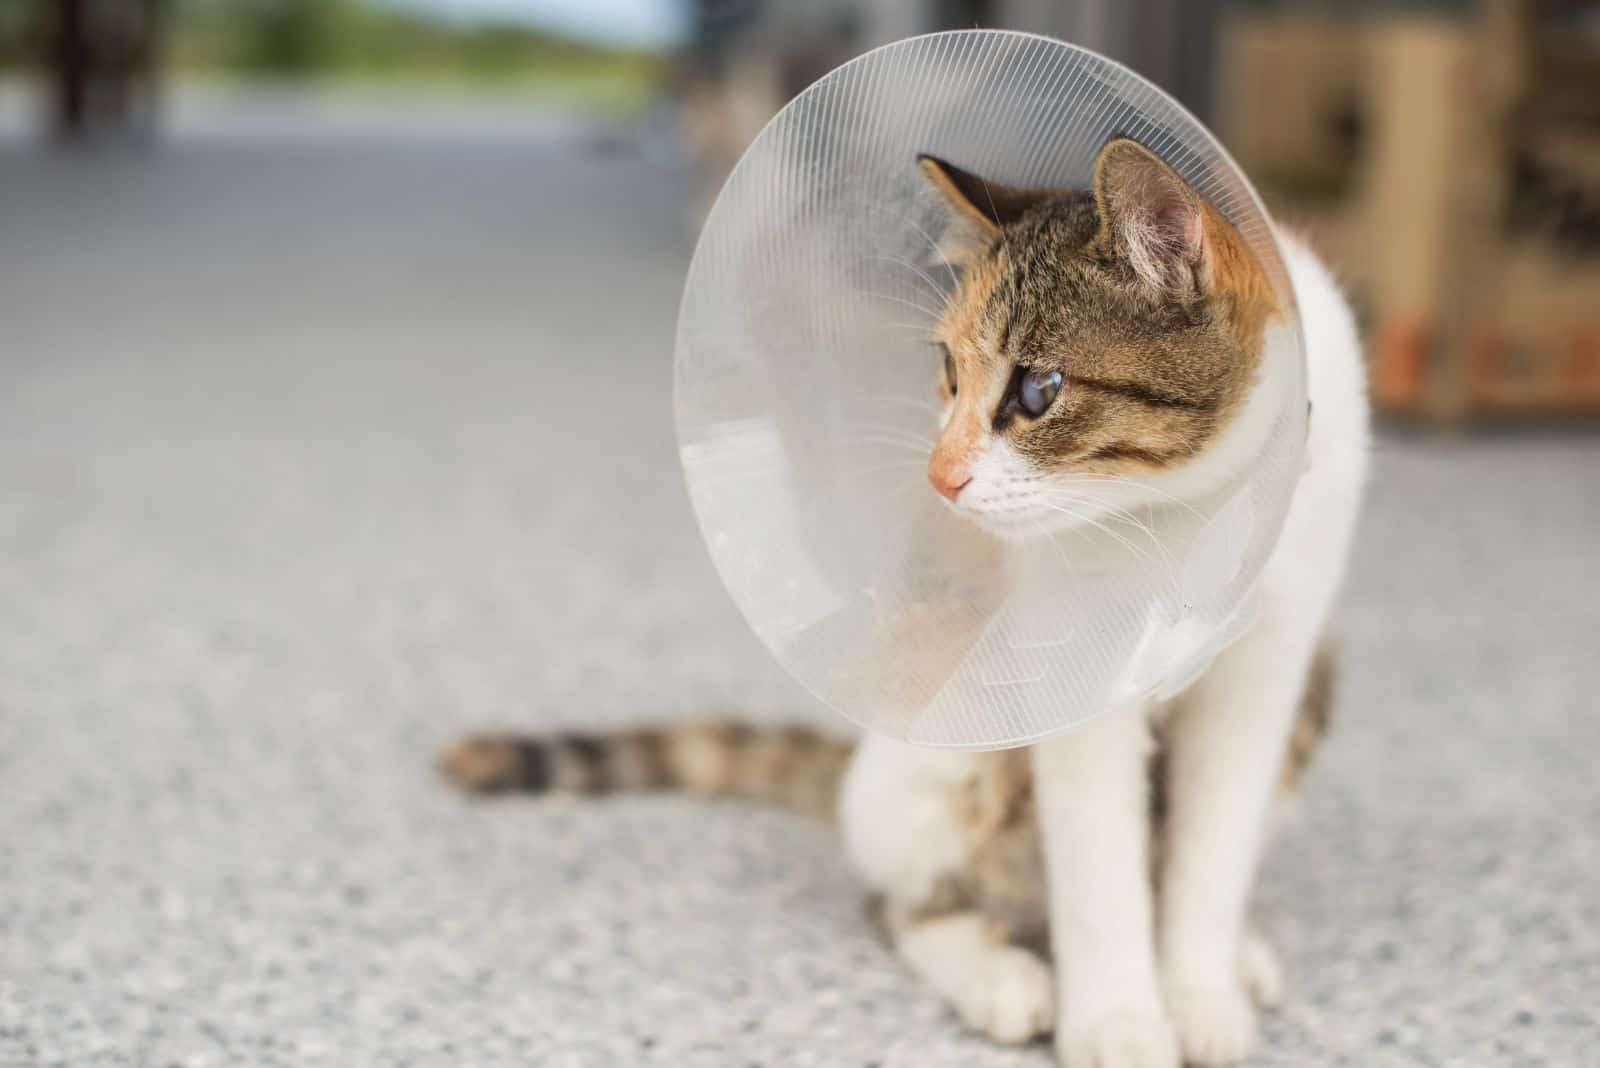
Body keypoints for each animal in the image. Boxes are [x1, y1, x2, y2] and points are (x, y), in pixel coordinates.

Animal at [444, 137, 1369, 1061]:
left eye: (1038, 390)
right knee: (906, 905)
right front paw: (1118, 1022)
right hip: (951, 742)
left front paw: (1199, 995)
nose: (940, 474)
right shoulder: (1078, 679)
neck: (1186, 517)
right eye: (949, 369)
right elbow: (1099, 866)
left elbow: (1212, 850)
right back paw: (1004, 978)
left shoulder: (1269, 669)